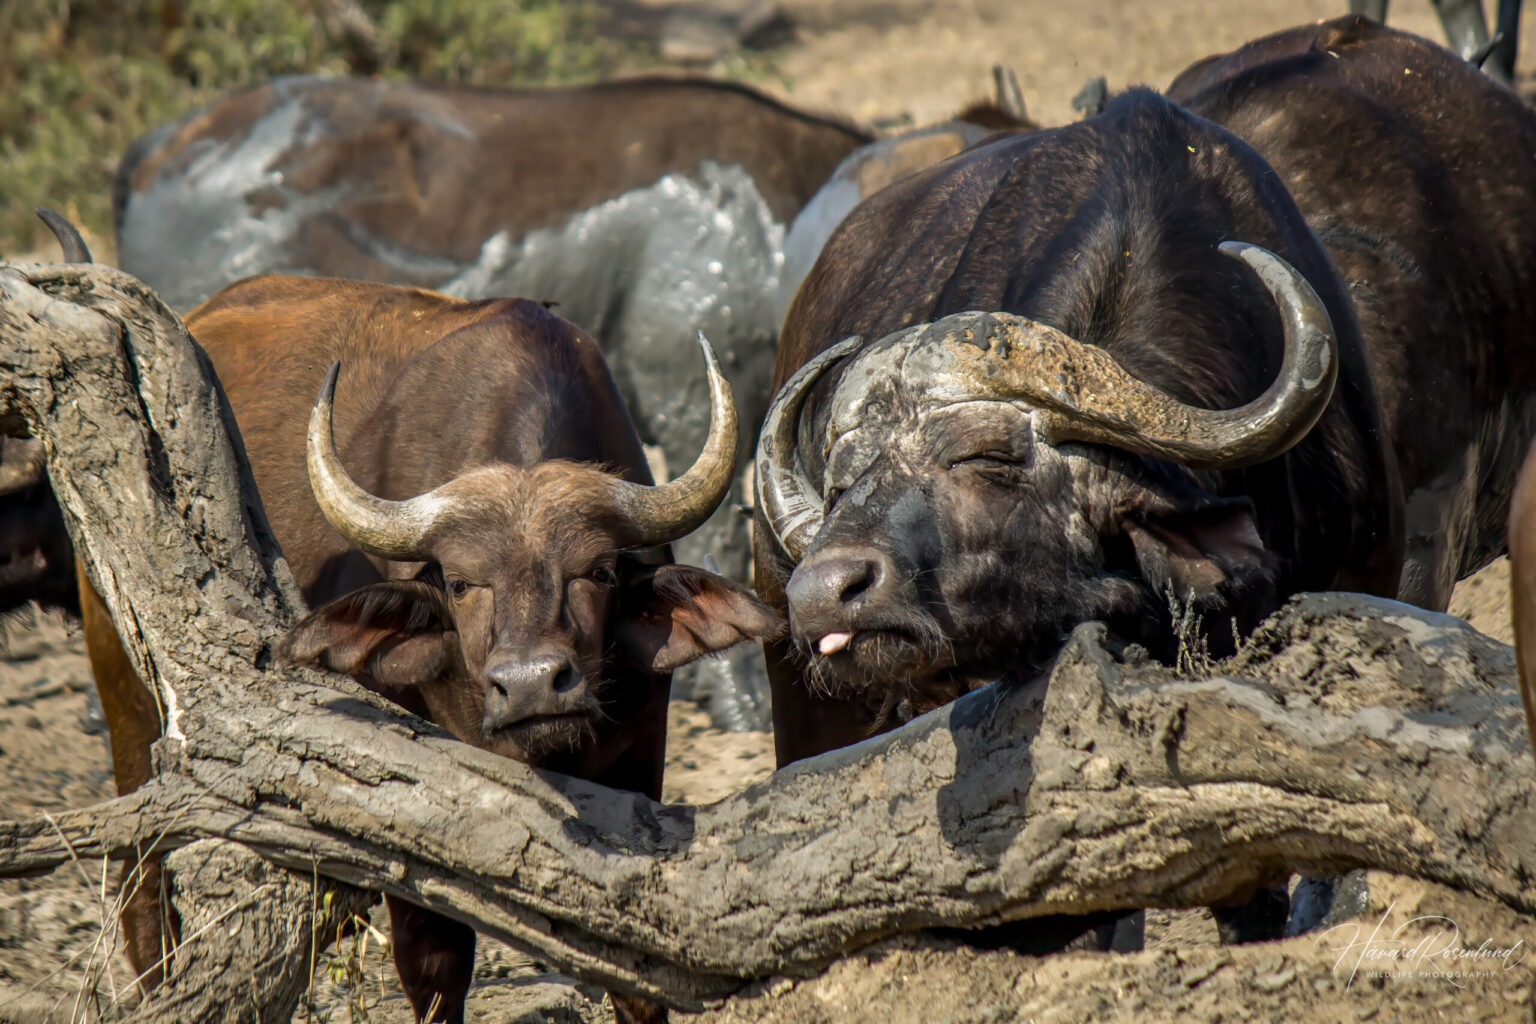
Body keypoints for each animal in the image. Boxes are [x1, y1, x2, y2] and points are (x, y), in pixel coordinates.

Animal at [61, 214, 779, 1019]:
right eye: (462, 583)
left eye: (596, 572)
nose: (533, 685)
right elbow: (435, 960)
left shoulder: (641, 755)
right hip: (129, 691)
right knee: (141, 865)